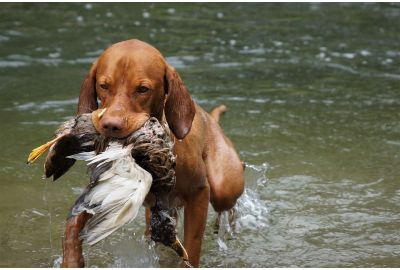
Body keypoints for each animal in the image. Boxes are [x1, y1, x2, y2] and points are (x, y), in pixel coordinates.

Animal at [62, 39, 244, 266]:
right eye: (103, 86)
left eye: (143, 89)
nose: (110, 125)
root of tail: (210, 119)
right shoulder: (104, 190)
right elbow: (73, 222)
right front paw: (71, 260)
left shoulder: (199, 194)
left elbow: (192, 249)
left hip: (223, 187)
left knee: (228, 204)